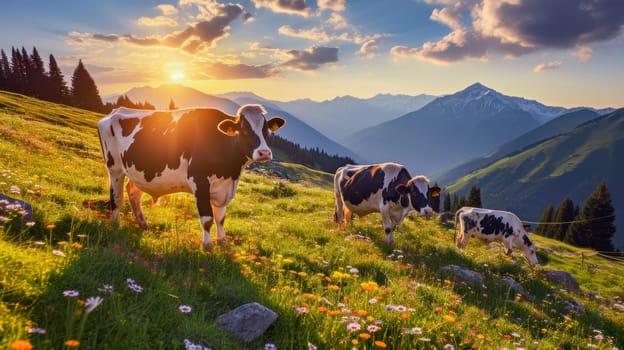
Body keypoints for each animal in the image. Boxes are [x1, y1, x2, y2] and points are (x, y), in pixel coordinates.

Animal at [97, 104, 286, 246]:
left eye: (266, 130)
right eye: (244, 129)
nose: (264, 152)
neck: (230, 170)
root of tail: (116, 110)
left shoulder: (224, 187)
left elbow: (221, 218)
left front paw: (222, 241)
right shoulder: (199, 180)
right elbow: (208, 218)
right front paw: (207, 246)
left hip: (139, 173)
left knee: (134, 193)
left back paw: (144, 225)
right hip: (114, 168)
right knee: (116, 199)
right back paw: (115, 226)